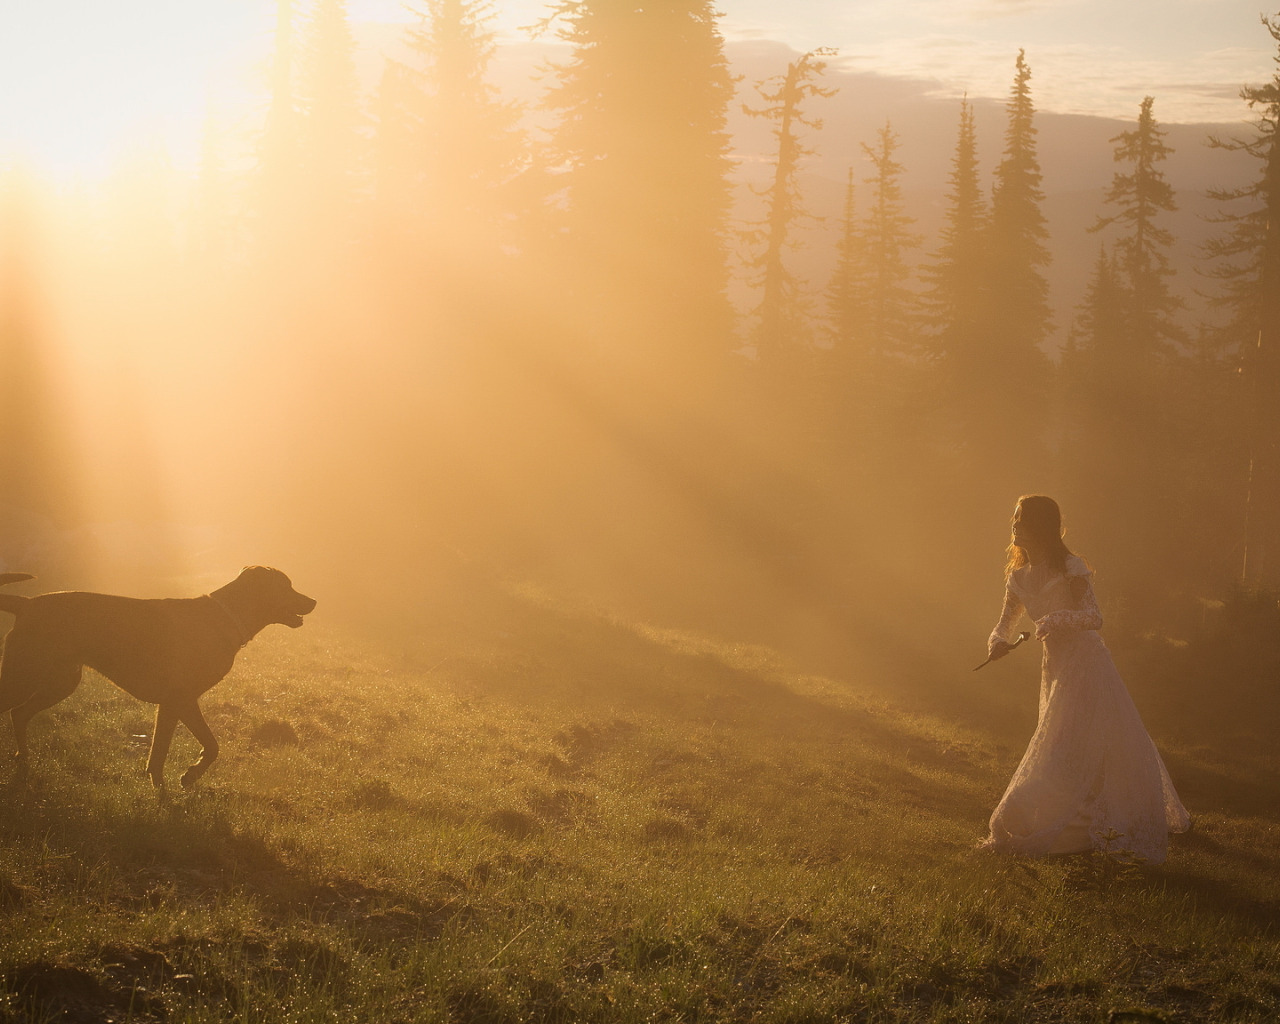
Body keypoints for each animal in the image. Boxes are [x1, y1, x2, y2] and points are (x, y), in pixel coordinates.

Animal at [0, 568, 317, 793]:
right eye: (286, 586)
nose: (314, 600)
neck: (223, 616)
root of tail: (26, 604)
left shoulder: (171, 705)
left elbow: (160, 752)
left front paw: (161, 788)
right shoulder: (182, 700)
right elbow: (210, 746)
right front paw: (188, 776)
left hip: (60, 682)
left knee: (19, 714)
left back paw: (23, 760)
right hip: (23, 677)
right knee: (15, 710)